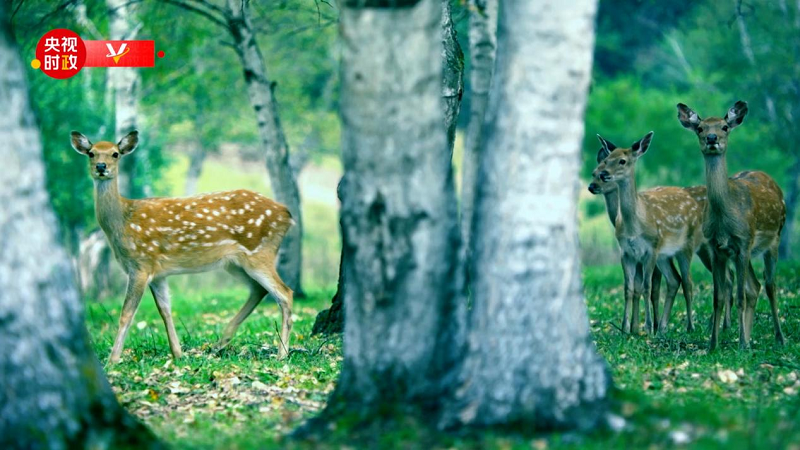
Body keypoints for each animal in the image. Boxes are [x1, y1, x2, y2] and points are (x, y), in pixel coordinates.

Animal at [71, 130, 294, 362]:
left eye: (115, 153)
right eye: (91, 153)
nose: (101, 167)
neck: (123, 220)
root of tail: (287, 214)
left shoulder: (140, 264)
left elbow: (126, 314)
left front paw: (113, 360)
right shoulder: (158, 272)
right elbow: (165, 310)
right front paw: (178, 353)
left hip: (259, 252)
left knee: (285, 293)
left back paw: (282, 353)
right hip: (234, 263)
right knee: (258, 289)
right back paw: (220, 343)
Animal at [592, 132, 704, 336]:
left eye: (622, 161)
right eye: (606, 160)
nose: (603, 175)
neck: (634, 226)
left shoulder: (651, 250)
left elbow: (647, 287)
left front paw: (647, 326)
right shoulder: (626, 253)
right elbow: (629, 288)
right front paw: (626, 328)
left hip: (687, 246)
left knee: (688, 282)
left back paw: (690, 326)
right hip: (665, 256)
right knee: (674, 280)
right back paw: (664, 327)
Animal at [680, 102, 784, 352]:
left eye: (725, 127)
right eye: (700, 128)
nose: (712, 138)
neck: (724, 219)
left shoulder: (743, 243)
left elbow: (739, 296)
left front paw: (741, 343)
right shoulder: (717, 248)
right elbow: (718, 297)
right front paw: (713, 344)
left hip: (773, 240)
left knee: (770, 285)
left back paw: (778, 337)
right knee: (754, 286)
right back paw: (748, 337)